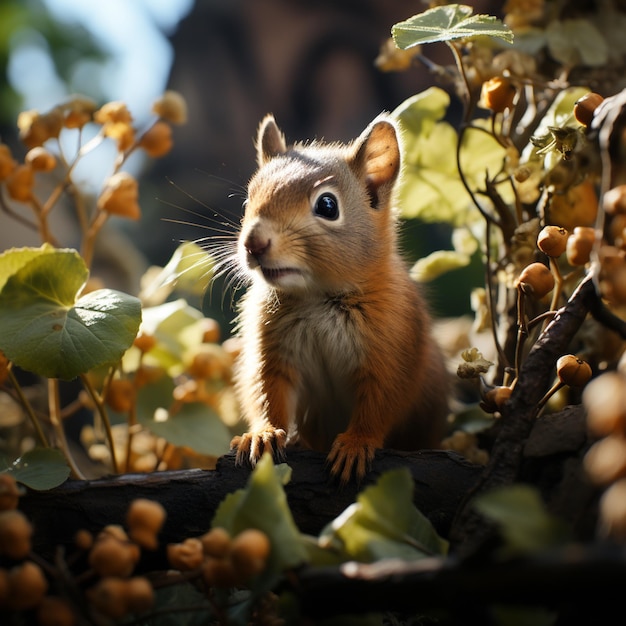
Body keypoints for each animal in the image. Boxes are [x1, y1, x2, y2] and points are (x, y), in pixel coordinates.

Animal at [229, 113, 448, 482]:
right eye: (247, 201)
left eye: (328, 206)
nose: (253, 245)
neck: (317, 296)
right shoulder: (270, 349)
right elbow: (266, 391)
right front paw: (263, 433)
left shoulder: (392, 349)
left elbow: (380, 402)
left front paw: (355, 444)